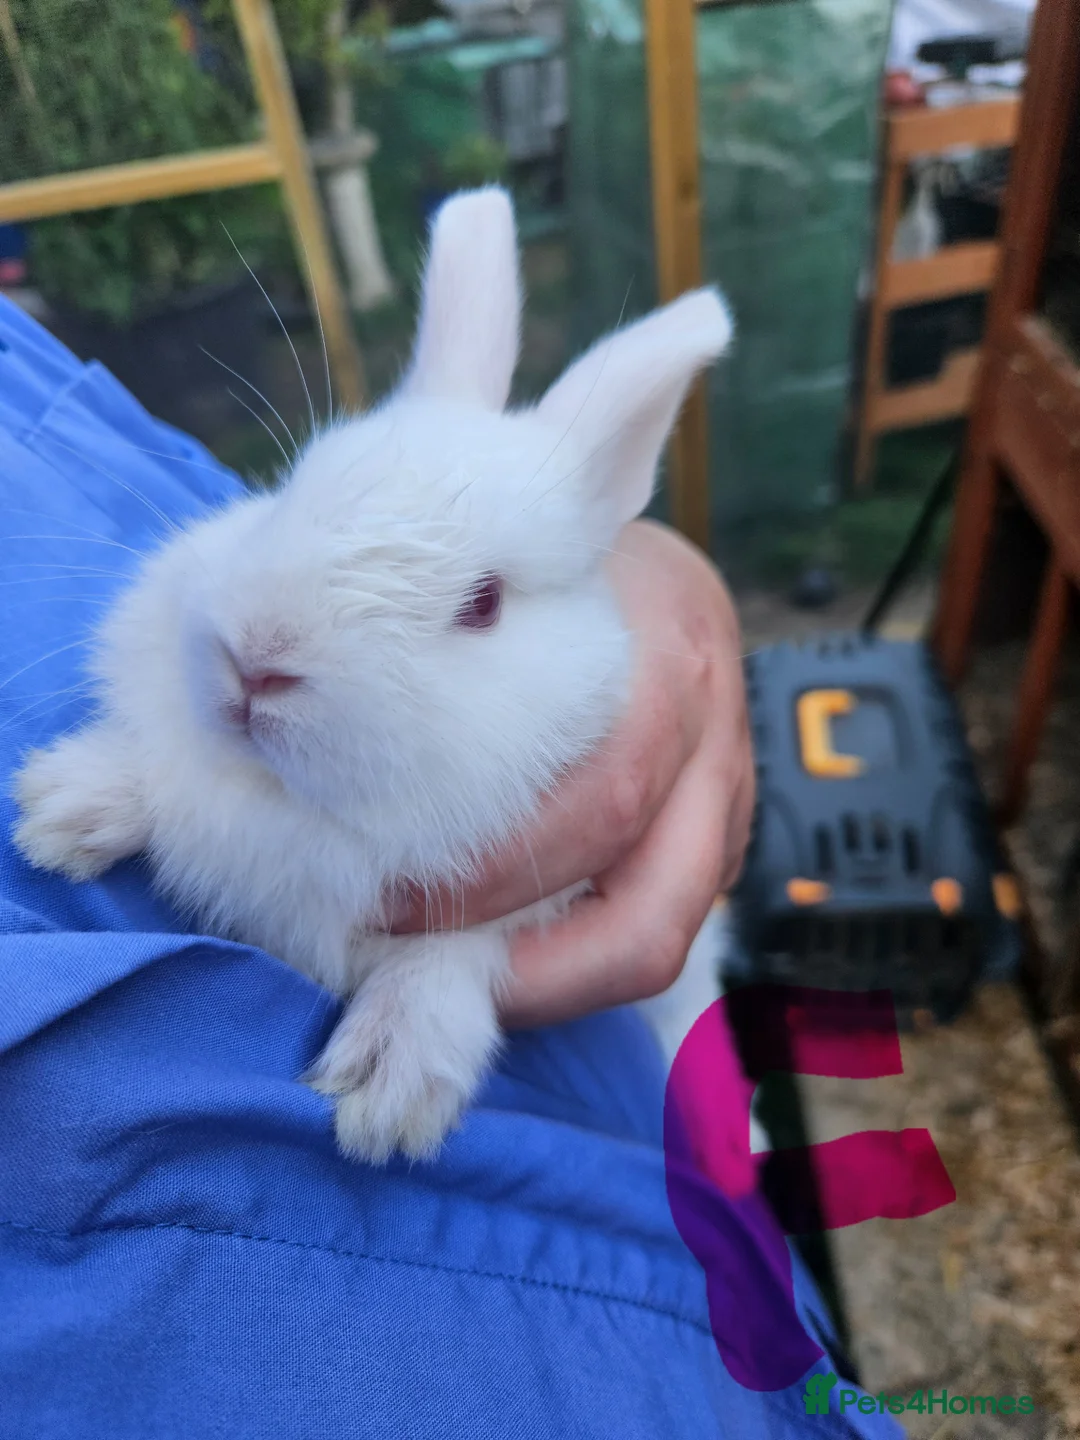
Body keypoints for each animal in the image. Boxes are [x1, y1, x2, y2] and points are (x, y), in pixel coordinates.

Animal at [12, 187, 732, 1164]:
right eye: (291, 489)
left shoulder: (515, 892)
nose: (258, 661)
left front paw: (386, 1092)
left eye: (484, 603)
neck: (290, 806)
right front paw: (62, 810)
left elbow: (453, 956)